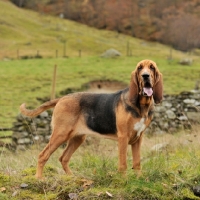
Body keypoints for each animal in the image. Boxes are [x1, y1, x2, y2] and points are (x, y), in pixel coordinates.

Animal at [20, 58, 162, 179]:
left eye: (152, 67)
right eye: (139, 68)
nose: (145, 76)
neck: (141, 106)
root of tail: (62, 98)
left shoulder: (138, 138)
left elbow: (137, 162)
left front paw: (139, 179)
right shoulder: (123, 137)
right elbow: (123, 164)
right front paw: (124, 181)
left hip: (77, 138)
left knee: (63, 158)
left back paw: (72, 177)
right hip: (60, 134)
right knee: (43, 155)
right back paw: (39, 178)